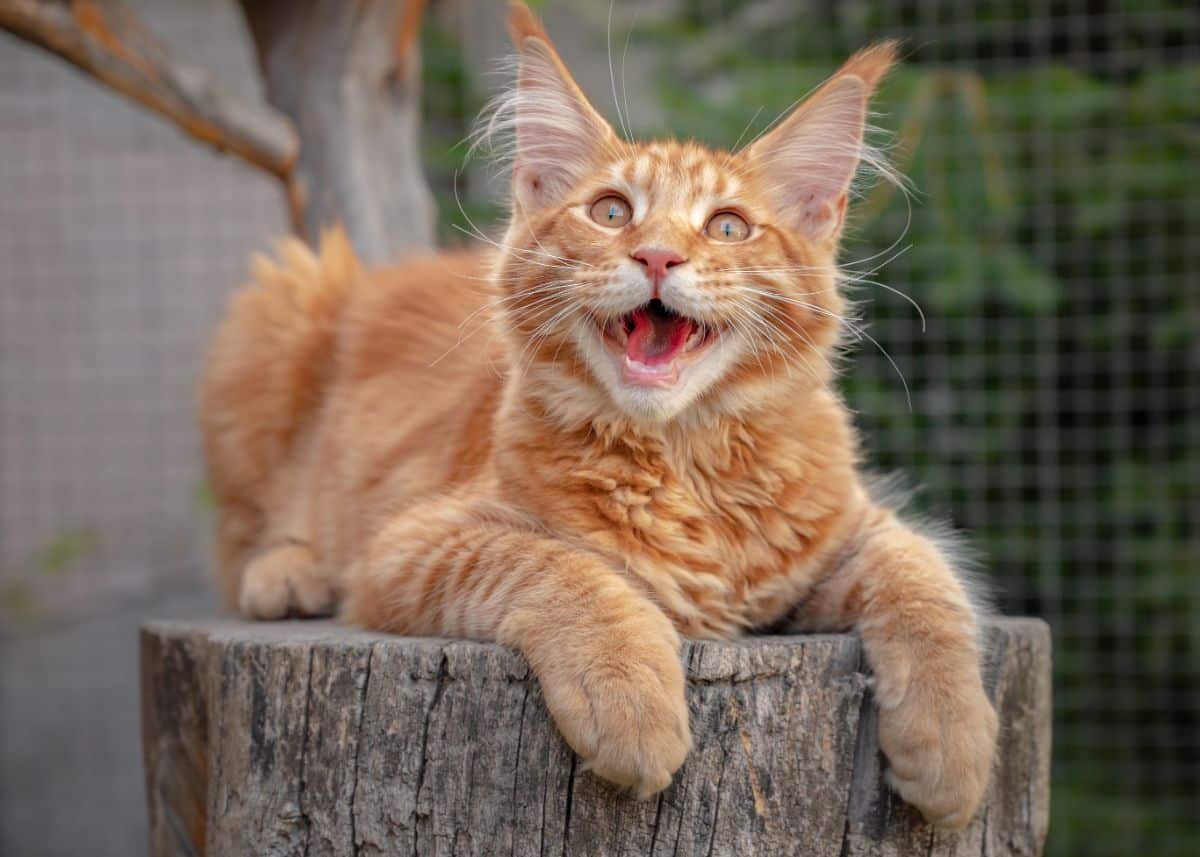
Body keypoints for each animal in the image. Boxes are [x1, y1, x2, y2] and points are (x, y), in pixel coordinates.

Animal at [201, 0, 998, 825]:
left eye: (727, 227)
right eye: (612, 212)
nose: (657, 257)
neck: (683, 459)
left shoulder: (844, 532)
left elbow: (928, 582)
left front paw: (953, 741)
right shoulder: (409, 544)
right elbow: (557, 565)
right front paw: (629, 697)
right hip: (280, 308)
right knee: (241, 539)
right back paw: (287, 573)